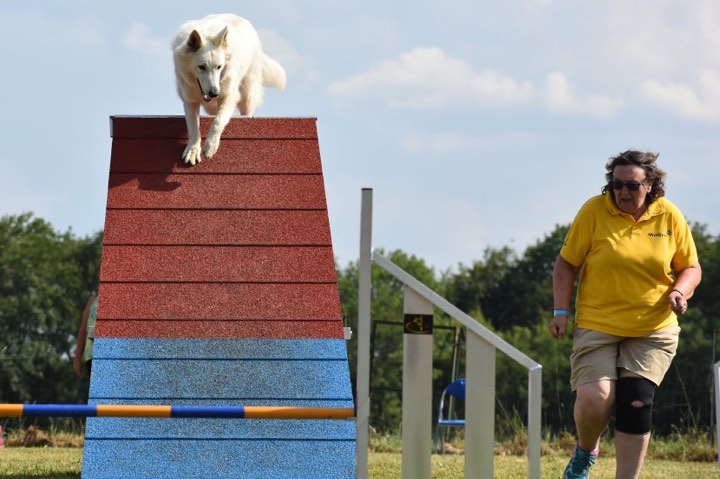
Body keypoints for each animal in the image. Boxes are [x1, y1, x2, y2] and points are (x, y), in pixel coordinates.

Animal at [172, 14, 286, 165]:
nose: (215, 93)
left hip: (247, 94)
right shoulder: (190, 100)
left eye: (219, 67)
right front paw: (193, 150)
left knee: (246, 111)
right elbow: (193, 127)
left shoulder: (228, 96)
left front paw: (211, 145)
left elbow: (218, 122)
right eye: (202, 67)